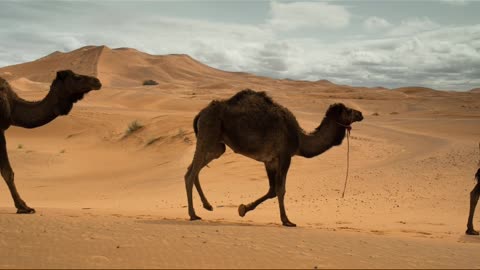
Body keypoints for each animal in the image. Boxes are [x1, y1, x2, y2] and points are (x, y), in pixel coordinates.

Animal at [184, 88, 364, 226]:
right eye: (348, 110)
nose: (361, 113)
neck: (300, 138)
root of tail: (201, 113)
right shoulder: (285, 156)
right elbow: (280, 189)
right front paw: (287, 220)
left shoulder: (270, 160)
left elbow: (271, 190)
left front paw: (243, 209)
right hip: (209, 133)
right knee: (190, 174)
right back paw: (193, 214)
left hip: (217, 146)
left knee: (193, 169)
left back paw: (207, 206)